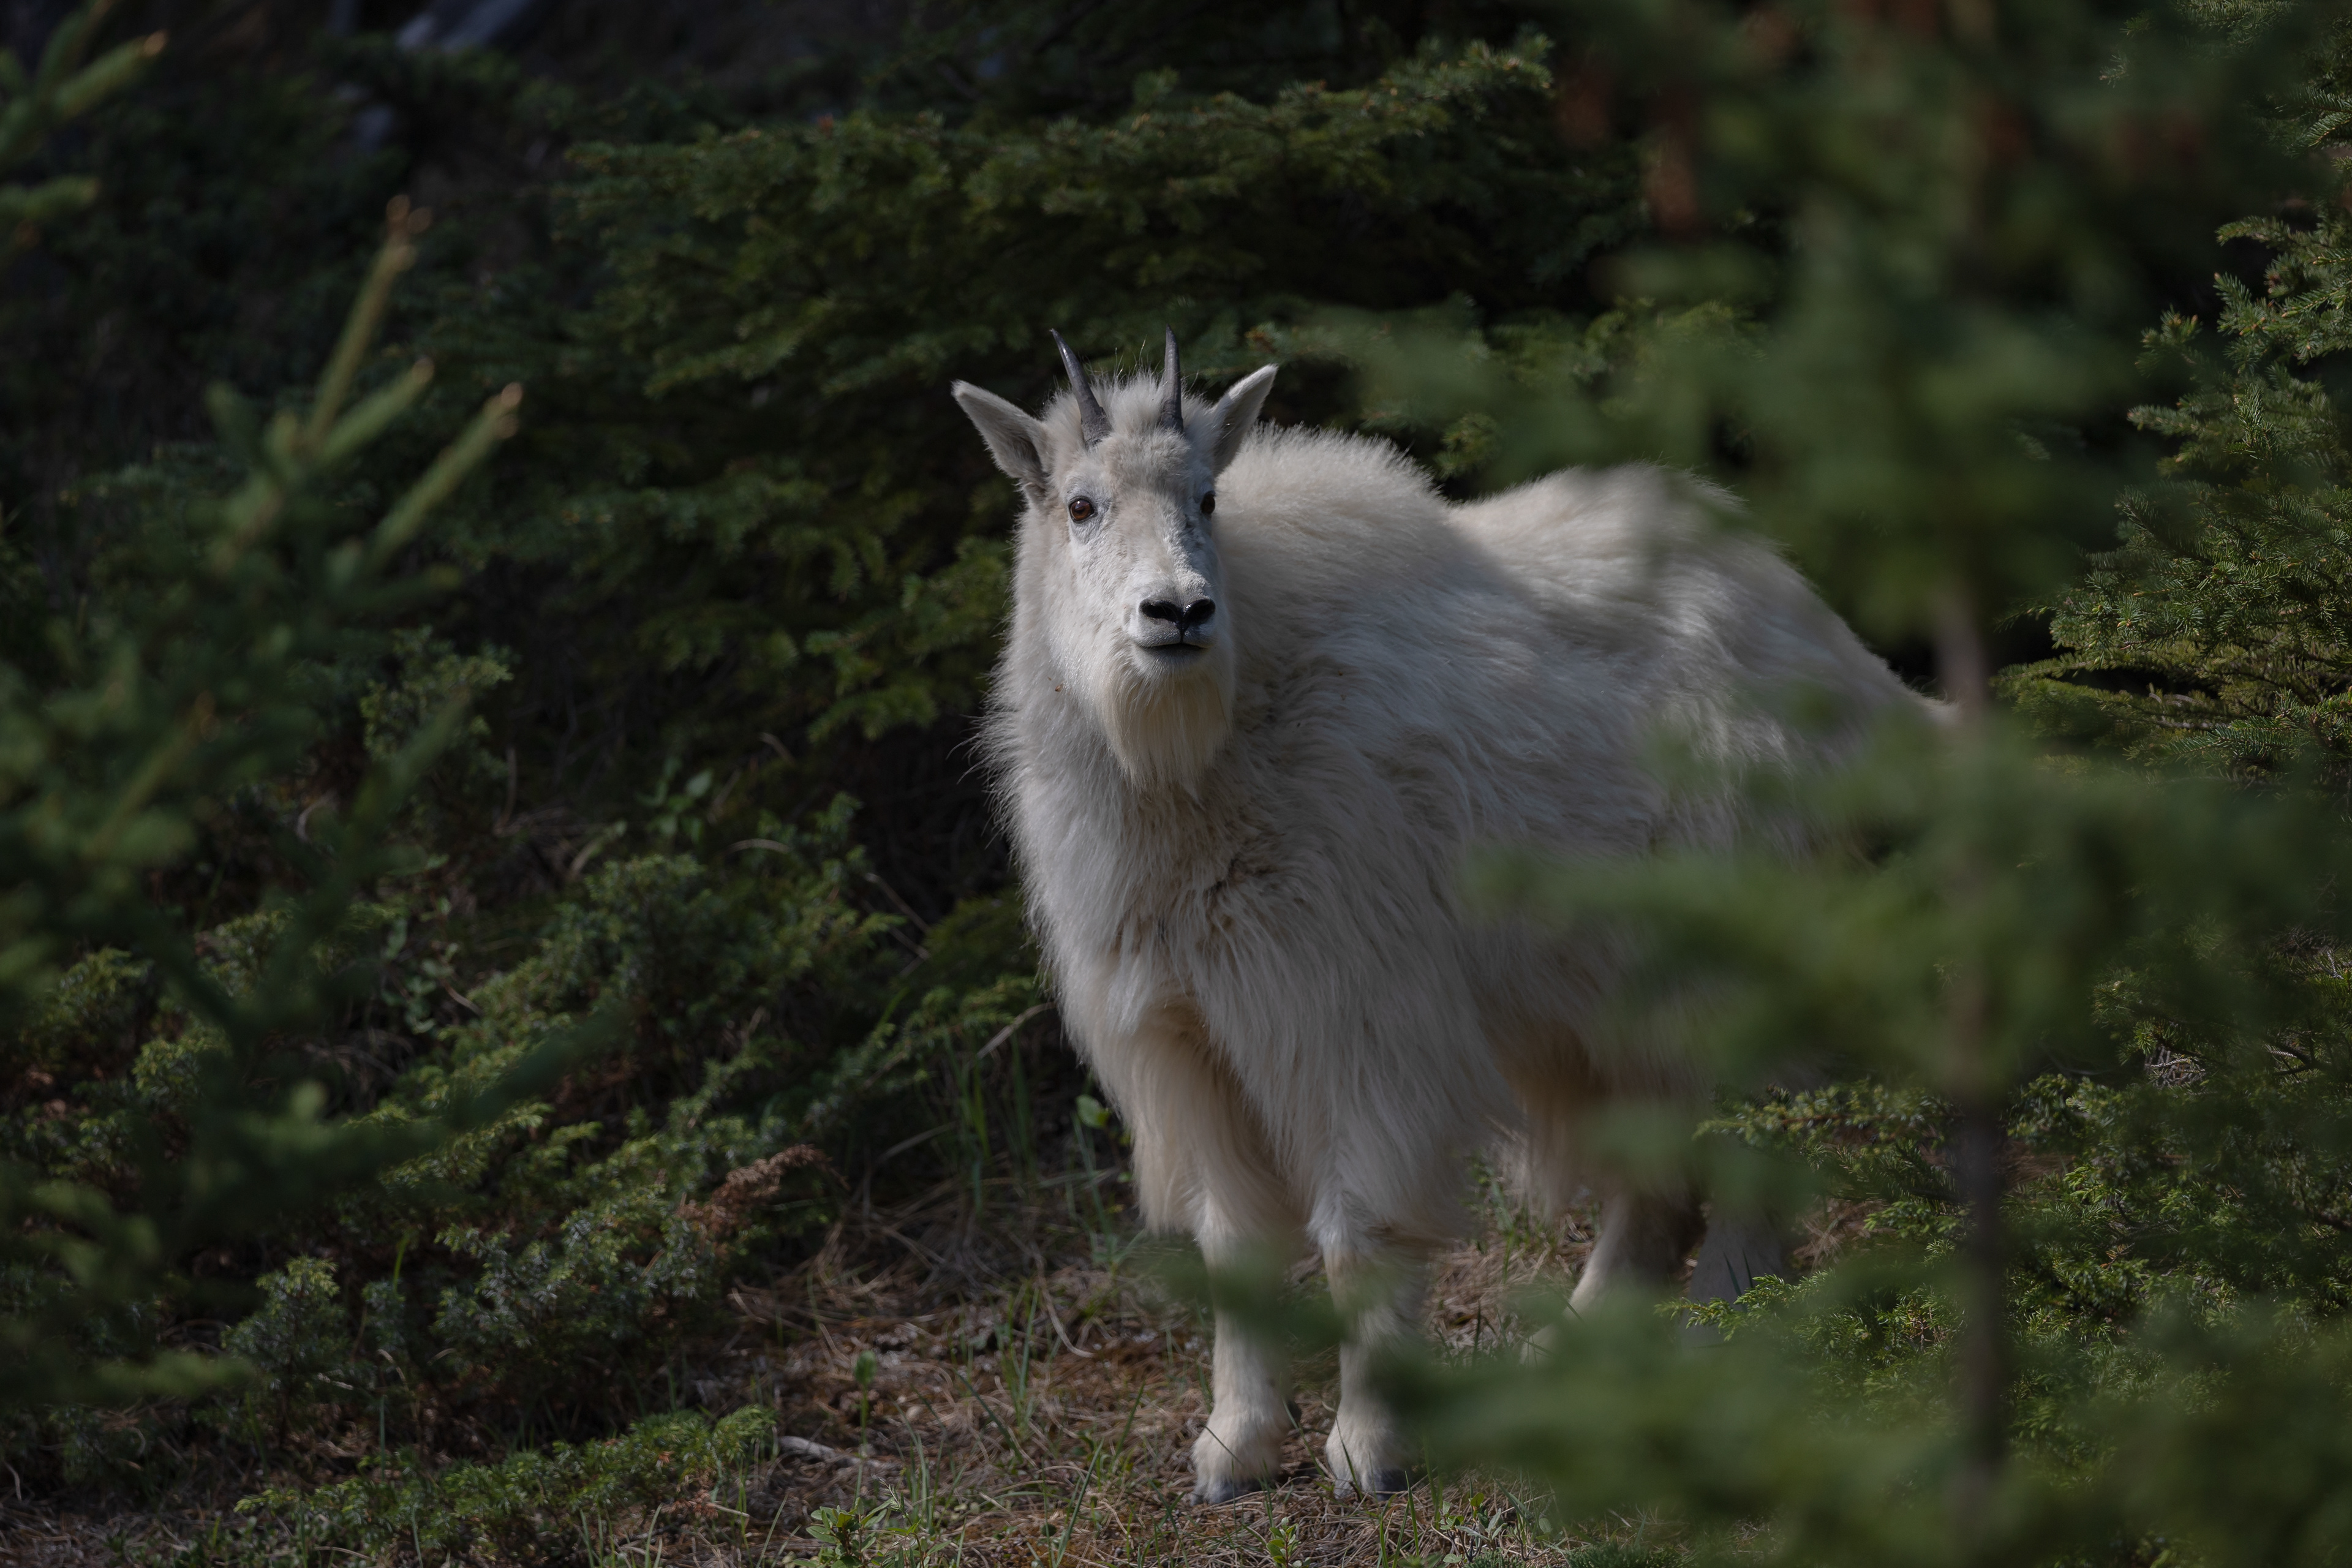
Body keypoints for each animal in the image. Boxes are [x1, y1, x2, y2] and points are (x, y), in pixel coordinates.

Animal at [952, 332, 1915, 1503]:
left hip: (1733, 968)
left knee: (1756, 1144)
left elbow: (1358, 1231)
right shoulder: (1189, 1038)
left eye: (1208, 497)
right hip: (1594, 999)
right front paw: (1235, 1445)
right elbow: (1235, 1245)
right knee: (1656, 1175)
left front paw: (1367, 1448)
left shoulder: (1353, 1014)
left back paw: (1720, 1335)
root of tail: (1851, 672)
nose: (1177, 615)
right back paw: (1573, 1348)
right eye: (1081, 505)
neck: (1197, 758)